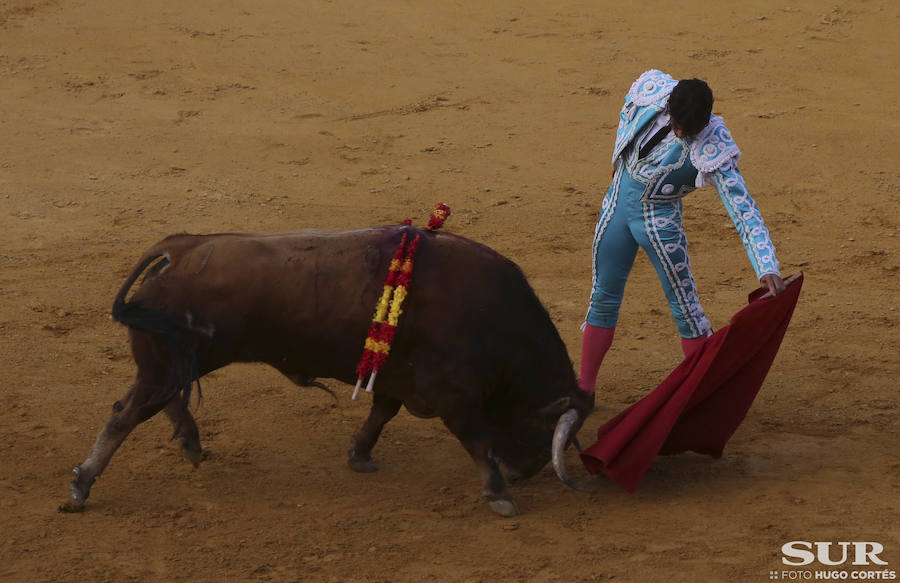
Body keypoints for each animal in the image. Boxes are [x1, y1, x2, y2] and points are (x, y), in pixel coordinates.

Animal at [67, 226, 596, 516]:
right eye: (546, 427)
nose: (524, 473)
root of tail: (179, 248)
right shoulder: (454, 394)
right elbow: (477, 441)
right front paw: (499, 494)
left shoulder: (400, 379)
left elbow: (381, 413)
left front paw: (359, 454)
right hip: (161, 365)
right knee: (124, 414)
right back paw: (81, 484)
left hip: (171, 360)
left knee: (160, 401)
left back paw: (190, 444)